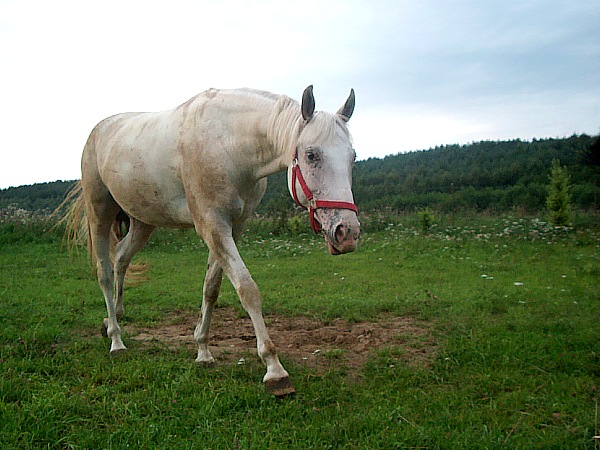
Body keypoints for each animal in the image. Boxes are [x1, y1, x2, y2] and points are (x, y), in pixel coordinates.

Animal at [71, 86, 360, 396]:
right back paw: (116, 340)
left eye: (352, 157)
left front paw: (203, 351)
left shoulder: (233, 228)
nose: (347, 233)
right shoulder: (213, 225)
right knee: (104, 271)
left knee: (122, 257)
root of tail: (99, 130)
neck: (228, 145)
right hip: (99, 213)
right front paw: (274, 370)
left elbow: (212, 288)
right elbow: (247, 289)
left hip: (142, 222)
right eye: (311, 154)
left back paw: (113, 318)